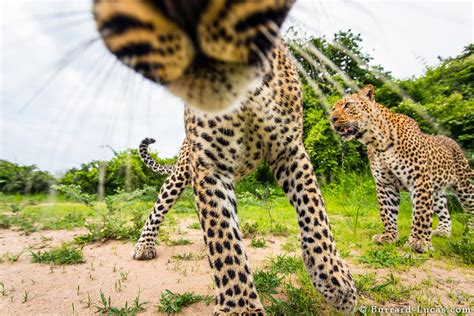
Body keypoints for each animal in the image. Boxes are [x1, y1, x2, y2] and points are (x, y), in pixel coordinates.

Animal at [92, 1, 356, 314]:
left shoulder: (290, 149)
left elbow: (315, 210)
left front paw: (334, 278)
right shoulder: (209, 165)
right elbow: (223, 239)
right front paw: (240, 308)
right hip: (183, 170)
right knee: (161, 204)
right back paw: (145, 245)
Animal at [332, 85, 472, 253]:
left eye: (348, 105)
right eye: (333, 109)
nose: (332, 119)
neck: (377, 142)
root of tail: (451, 141)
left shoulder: (420, 180)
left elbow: (421, 213)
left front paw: (419, 241)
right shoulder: (385, 184)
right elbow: (387, 212)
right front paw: (388, 236)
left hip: (464, 184)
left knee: (470, 207)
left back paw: (470, 233)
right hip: (436, 190)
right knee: (444, 210)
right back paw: (443, 231)